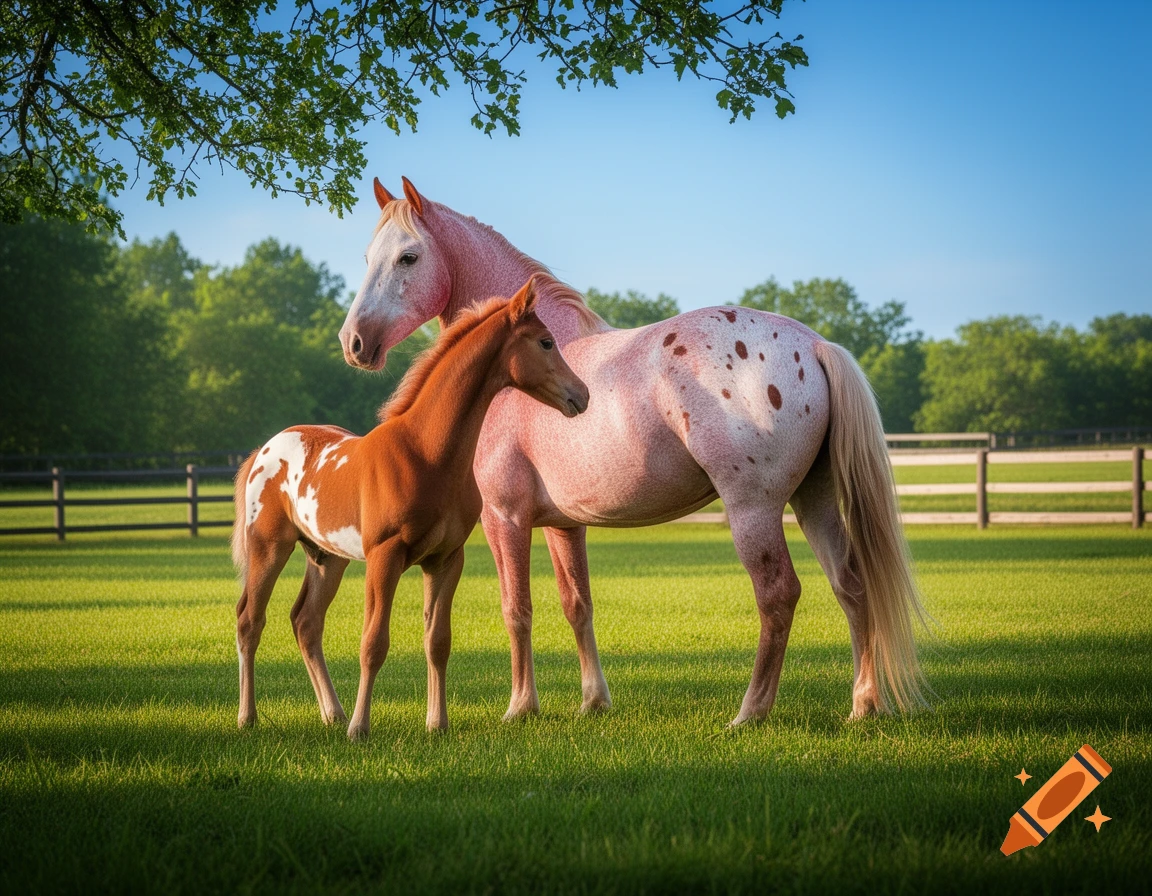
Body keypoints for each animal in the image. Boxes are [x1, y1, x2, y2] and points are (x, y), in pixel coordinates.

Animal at [231, 280, 589, 739]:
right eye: (546, 342)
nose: (581, 395)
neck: (424, 452)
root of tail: (264, 448)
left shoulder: (445, 560)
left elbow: (437, 641)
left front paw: (437, 723)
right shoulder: (384, 557)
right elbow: (373, 643)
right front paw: (361, 729)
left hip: (326, 557)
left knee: (306, 622)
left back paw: (333, 714)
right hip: (269, 548)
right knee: (250, 621)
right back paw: (250, 717)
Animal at [338, 177, 929, 726]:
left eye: (408, 256)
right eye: (367, 258)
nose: (355, 343)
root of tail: (814, 344)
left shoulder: (504, 518)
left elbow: (517, 609)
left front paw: (520, 707)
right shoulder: (563, 523)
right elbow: (577, 605)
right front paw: (593, 701)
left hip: (753, 510)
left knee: (779, 595)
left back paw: (751, 711)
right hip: (815, 500)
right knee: (850, 586)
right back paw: (863, 704)